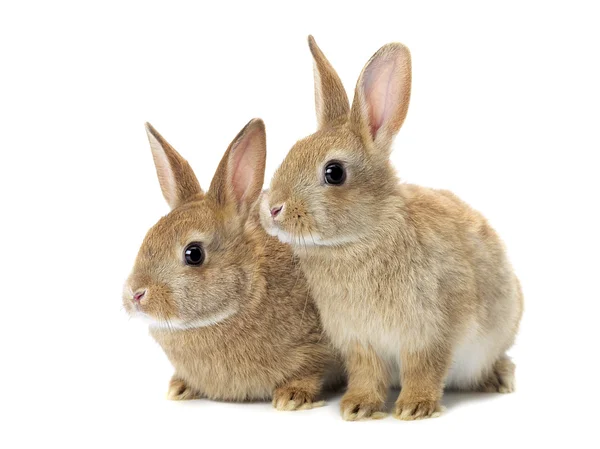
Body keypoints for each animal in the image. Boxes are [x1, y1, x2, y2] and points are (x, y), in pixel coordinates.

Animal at [122, 117, 340, 408]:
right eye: (148, 236)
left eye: (194, 254)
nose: (136, 294)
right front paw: (179, 388)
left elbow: (312, 370)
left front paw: (291, 397)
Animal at [260, 37, 524, 420]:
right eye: (293, 150)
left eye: (334, 172)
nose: (273, 208)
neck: (362, 238)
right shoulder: (360, 341)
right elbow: (367, 374)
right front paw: (358, 407)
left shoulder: (429, 333)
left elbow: (424, 369)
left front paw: (415, 407)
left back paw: (500, 379)